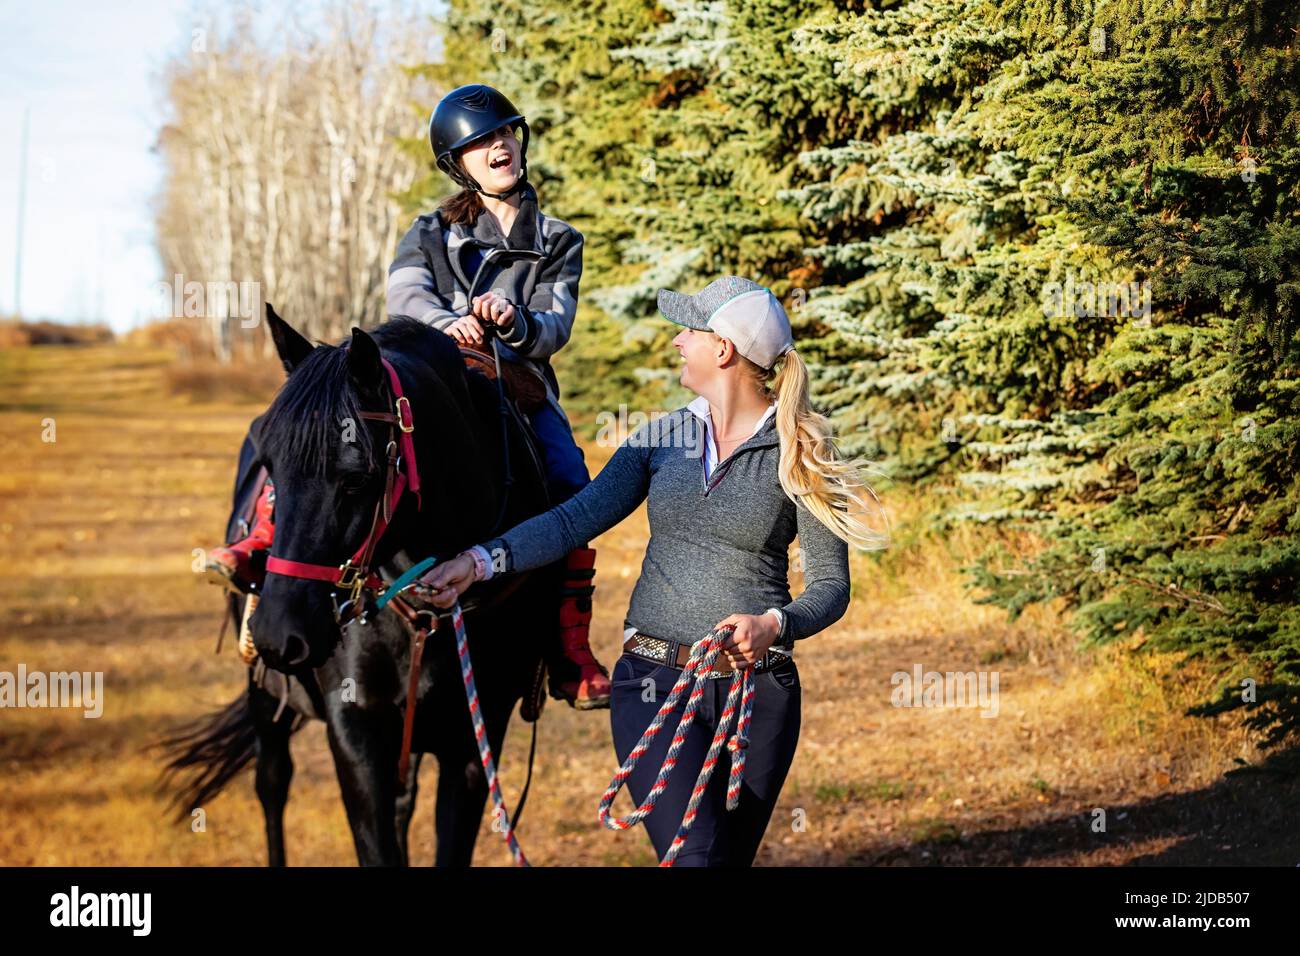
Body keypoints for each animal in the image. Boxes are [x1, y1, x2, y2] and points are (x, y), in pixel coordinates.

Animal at [159, 308, 556, 868]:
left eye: (356, 477)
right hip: (264, 693)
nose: (280, 633)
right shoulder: (354, 732)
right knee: (272, 784)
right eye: (271, 468)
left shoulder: (476, 739)